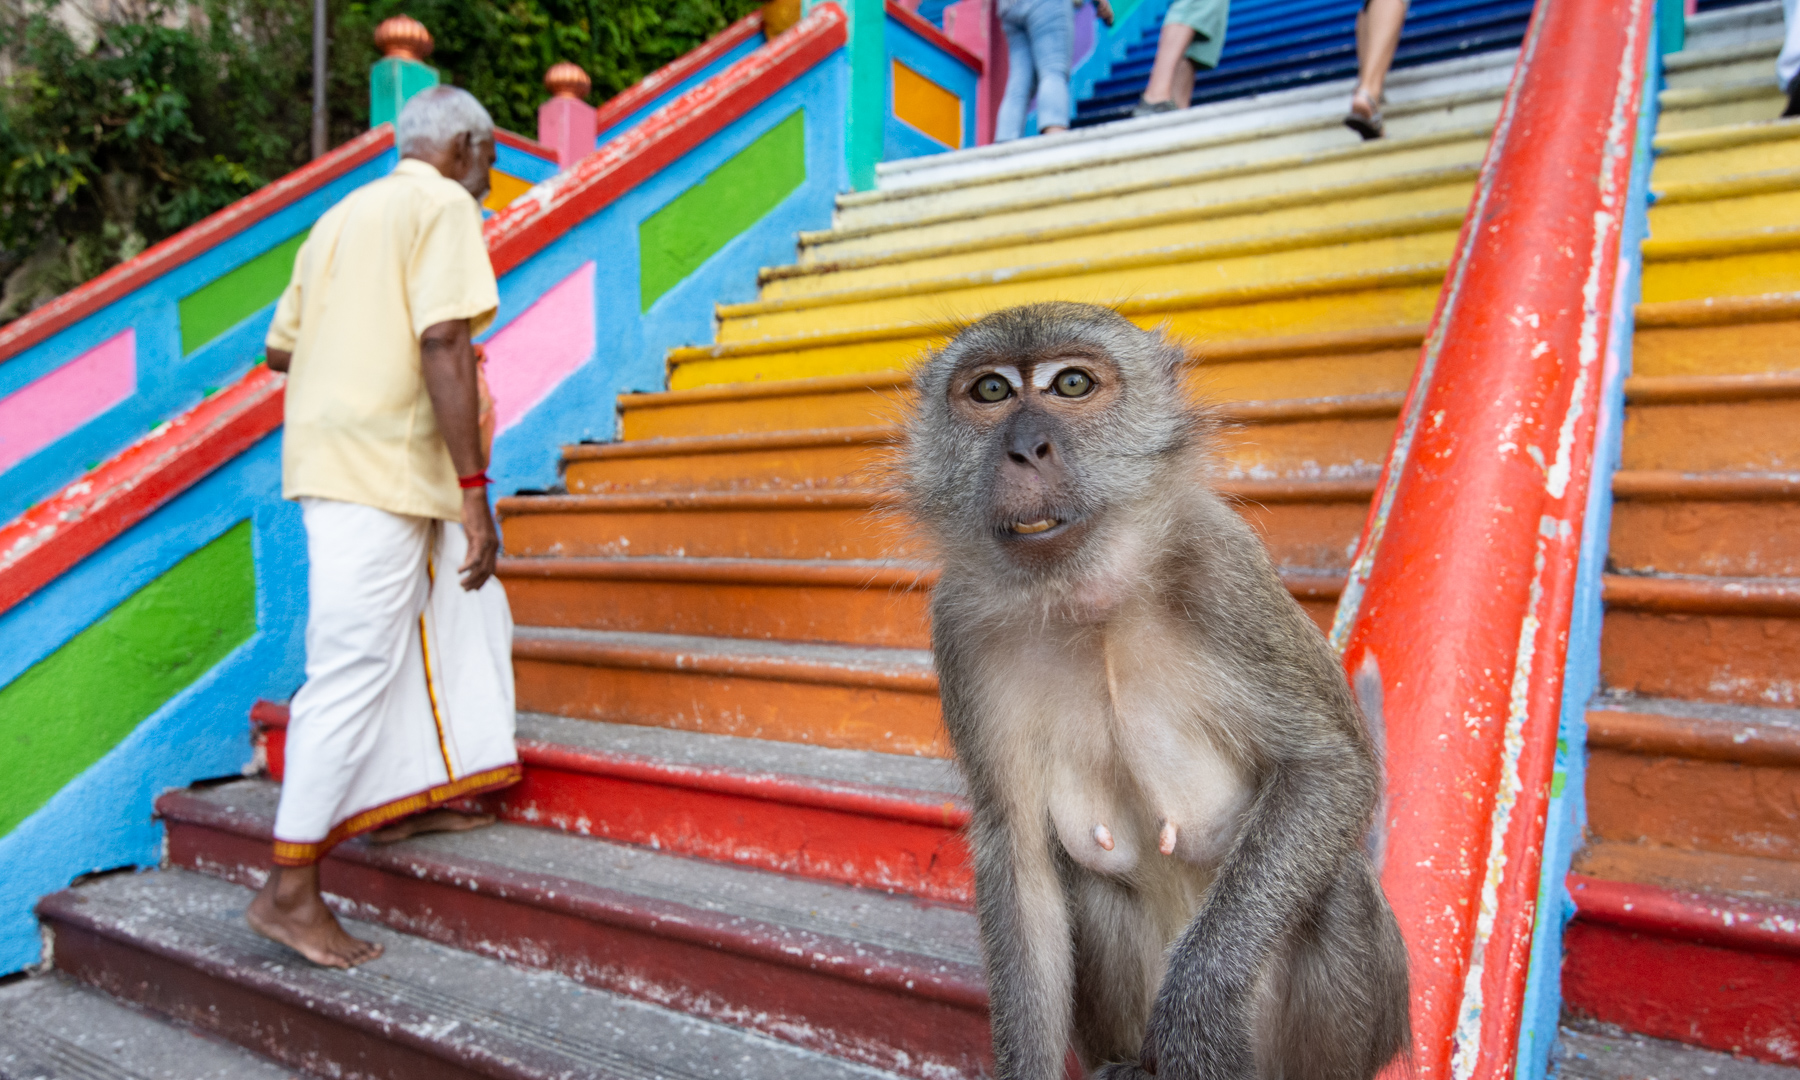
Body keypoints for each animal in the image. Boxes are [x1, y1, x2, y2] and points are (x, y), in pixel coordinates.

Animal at [900, 302, 1404, 1080]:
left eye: (1071, 383)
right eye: (990, 392)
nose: (1026, 448)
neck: (1089, 595)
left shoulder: (1219, 564)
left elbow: (1330, 768)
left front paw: (1199, 998)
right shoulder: (957, 625)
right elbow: (1020, 858)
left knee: (1339, 884)